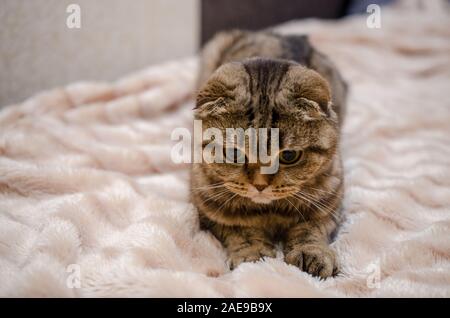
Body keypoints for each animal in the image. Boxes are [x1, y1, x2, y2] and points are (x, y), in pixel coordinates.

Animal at [190, 30, 348, 278]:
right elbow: (241, 230)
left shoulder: (330, 205)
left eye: (289, 156)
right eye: (234, 154)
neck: (270, 211)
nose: (260, 185)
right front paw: (254, 254)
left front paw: (312, 252)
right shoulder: (210, 211)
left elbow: (310, 228)